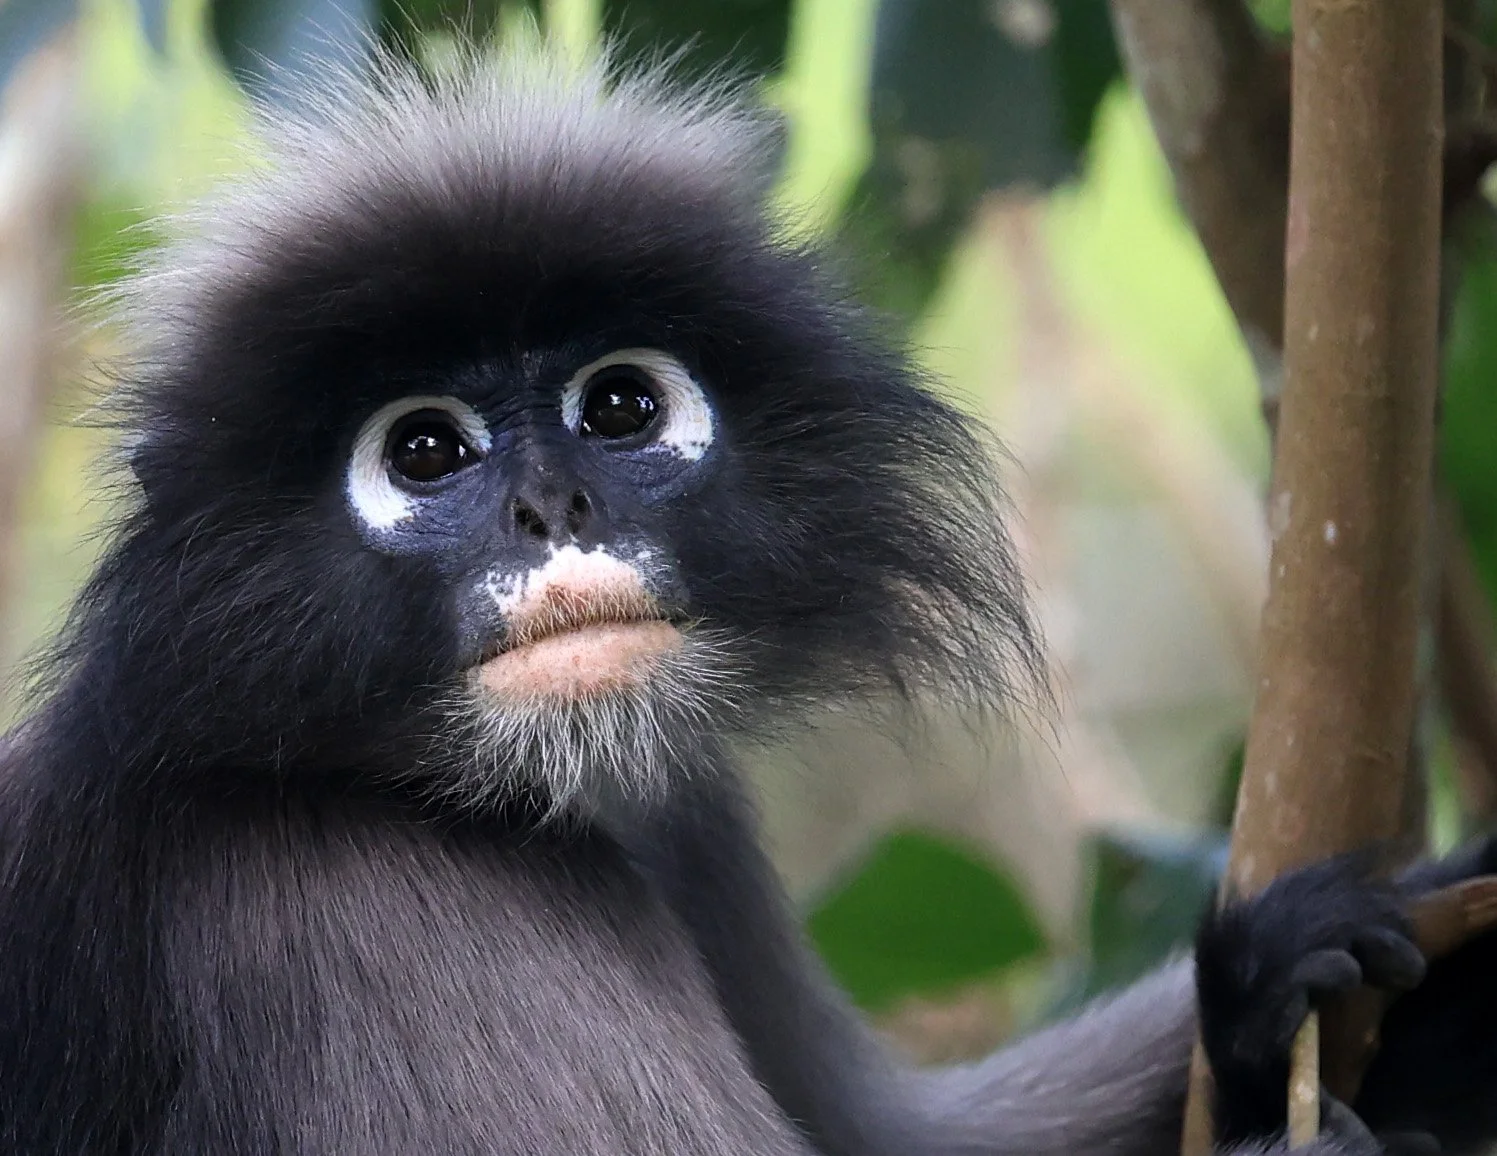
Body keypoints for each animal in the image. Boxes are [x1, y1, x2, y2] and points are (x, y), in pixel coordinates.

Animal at [0, 40, 1494, 1156]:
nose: (555, 509)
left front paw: (1274, 987)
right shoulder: (348, 893)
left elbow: (906, 1138)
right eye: (423, 452)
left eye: (618, 408)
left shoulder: (688, 817)